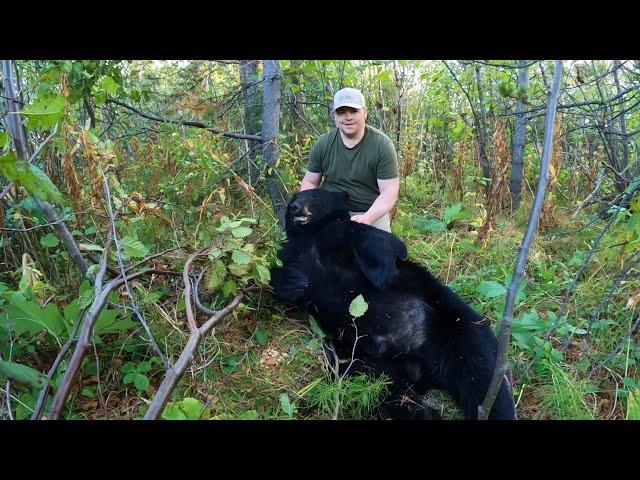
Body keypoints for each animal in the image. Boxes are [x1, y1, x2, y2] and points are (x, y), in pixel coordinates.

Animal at [268, 188, 516, 420]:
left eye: (315, 196)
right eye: (294, 198)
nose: (295, 207)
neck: (308, 237)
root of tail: (421, 367)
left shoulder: (337, 233)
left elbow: (383, 241)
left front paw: (381, 272)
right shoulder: (291, 253)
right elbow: (276, 275)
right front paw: (294, 282)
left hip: (456, 325)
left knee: (482, 375)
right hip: (364, 360)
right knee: (380, 390)